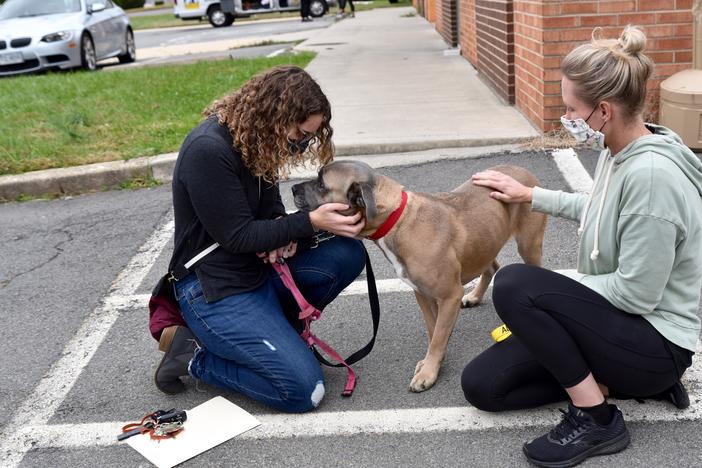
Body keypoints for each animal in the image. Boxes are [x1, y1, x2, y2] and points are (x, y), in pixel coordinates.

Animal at [292, 161, 552, 392]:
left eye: (321, 184)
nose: (293, 188)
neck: (397, 218)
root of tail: (523, 171)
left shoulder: (448, 296)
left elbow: (437, 337)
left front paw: (429, 372)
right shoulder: (423, 295)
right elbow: (433, 330)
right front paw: (432, 362)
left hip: (528, 244)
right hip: (484, 243)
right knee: (491, 266)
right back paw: (475, 296)